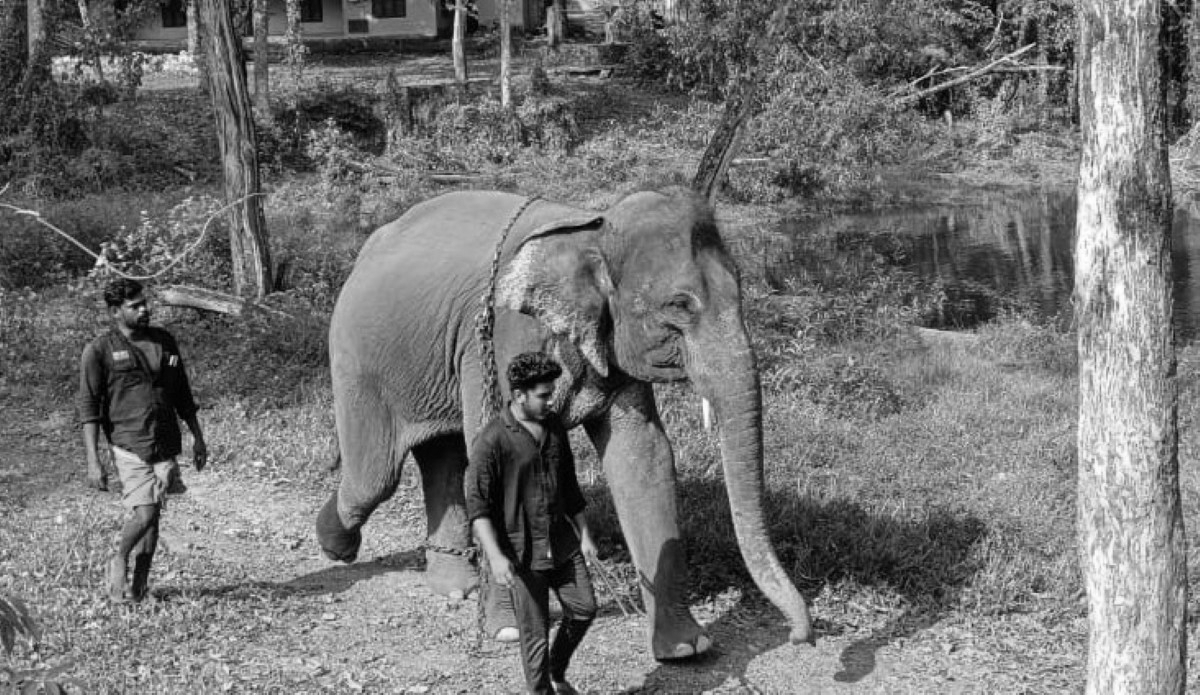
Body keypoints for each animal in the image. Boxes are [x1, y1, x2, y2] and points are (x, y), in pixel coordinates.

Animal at [315, 187, 812, 659]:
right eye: (679, 304)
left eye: (740, 289)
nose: (797, 635)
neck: (592, 230)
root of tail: (368, 247)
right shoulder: (499, 339)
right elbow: (494, 450)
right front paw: (510, 630)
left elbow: (642, 455)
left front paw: (687, 648)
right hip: (358, 354)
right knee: (376, 475)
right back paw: (337, 547)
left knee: (443, 459)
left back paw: (454, 588)